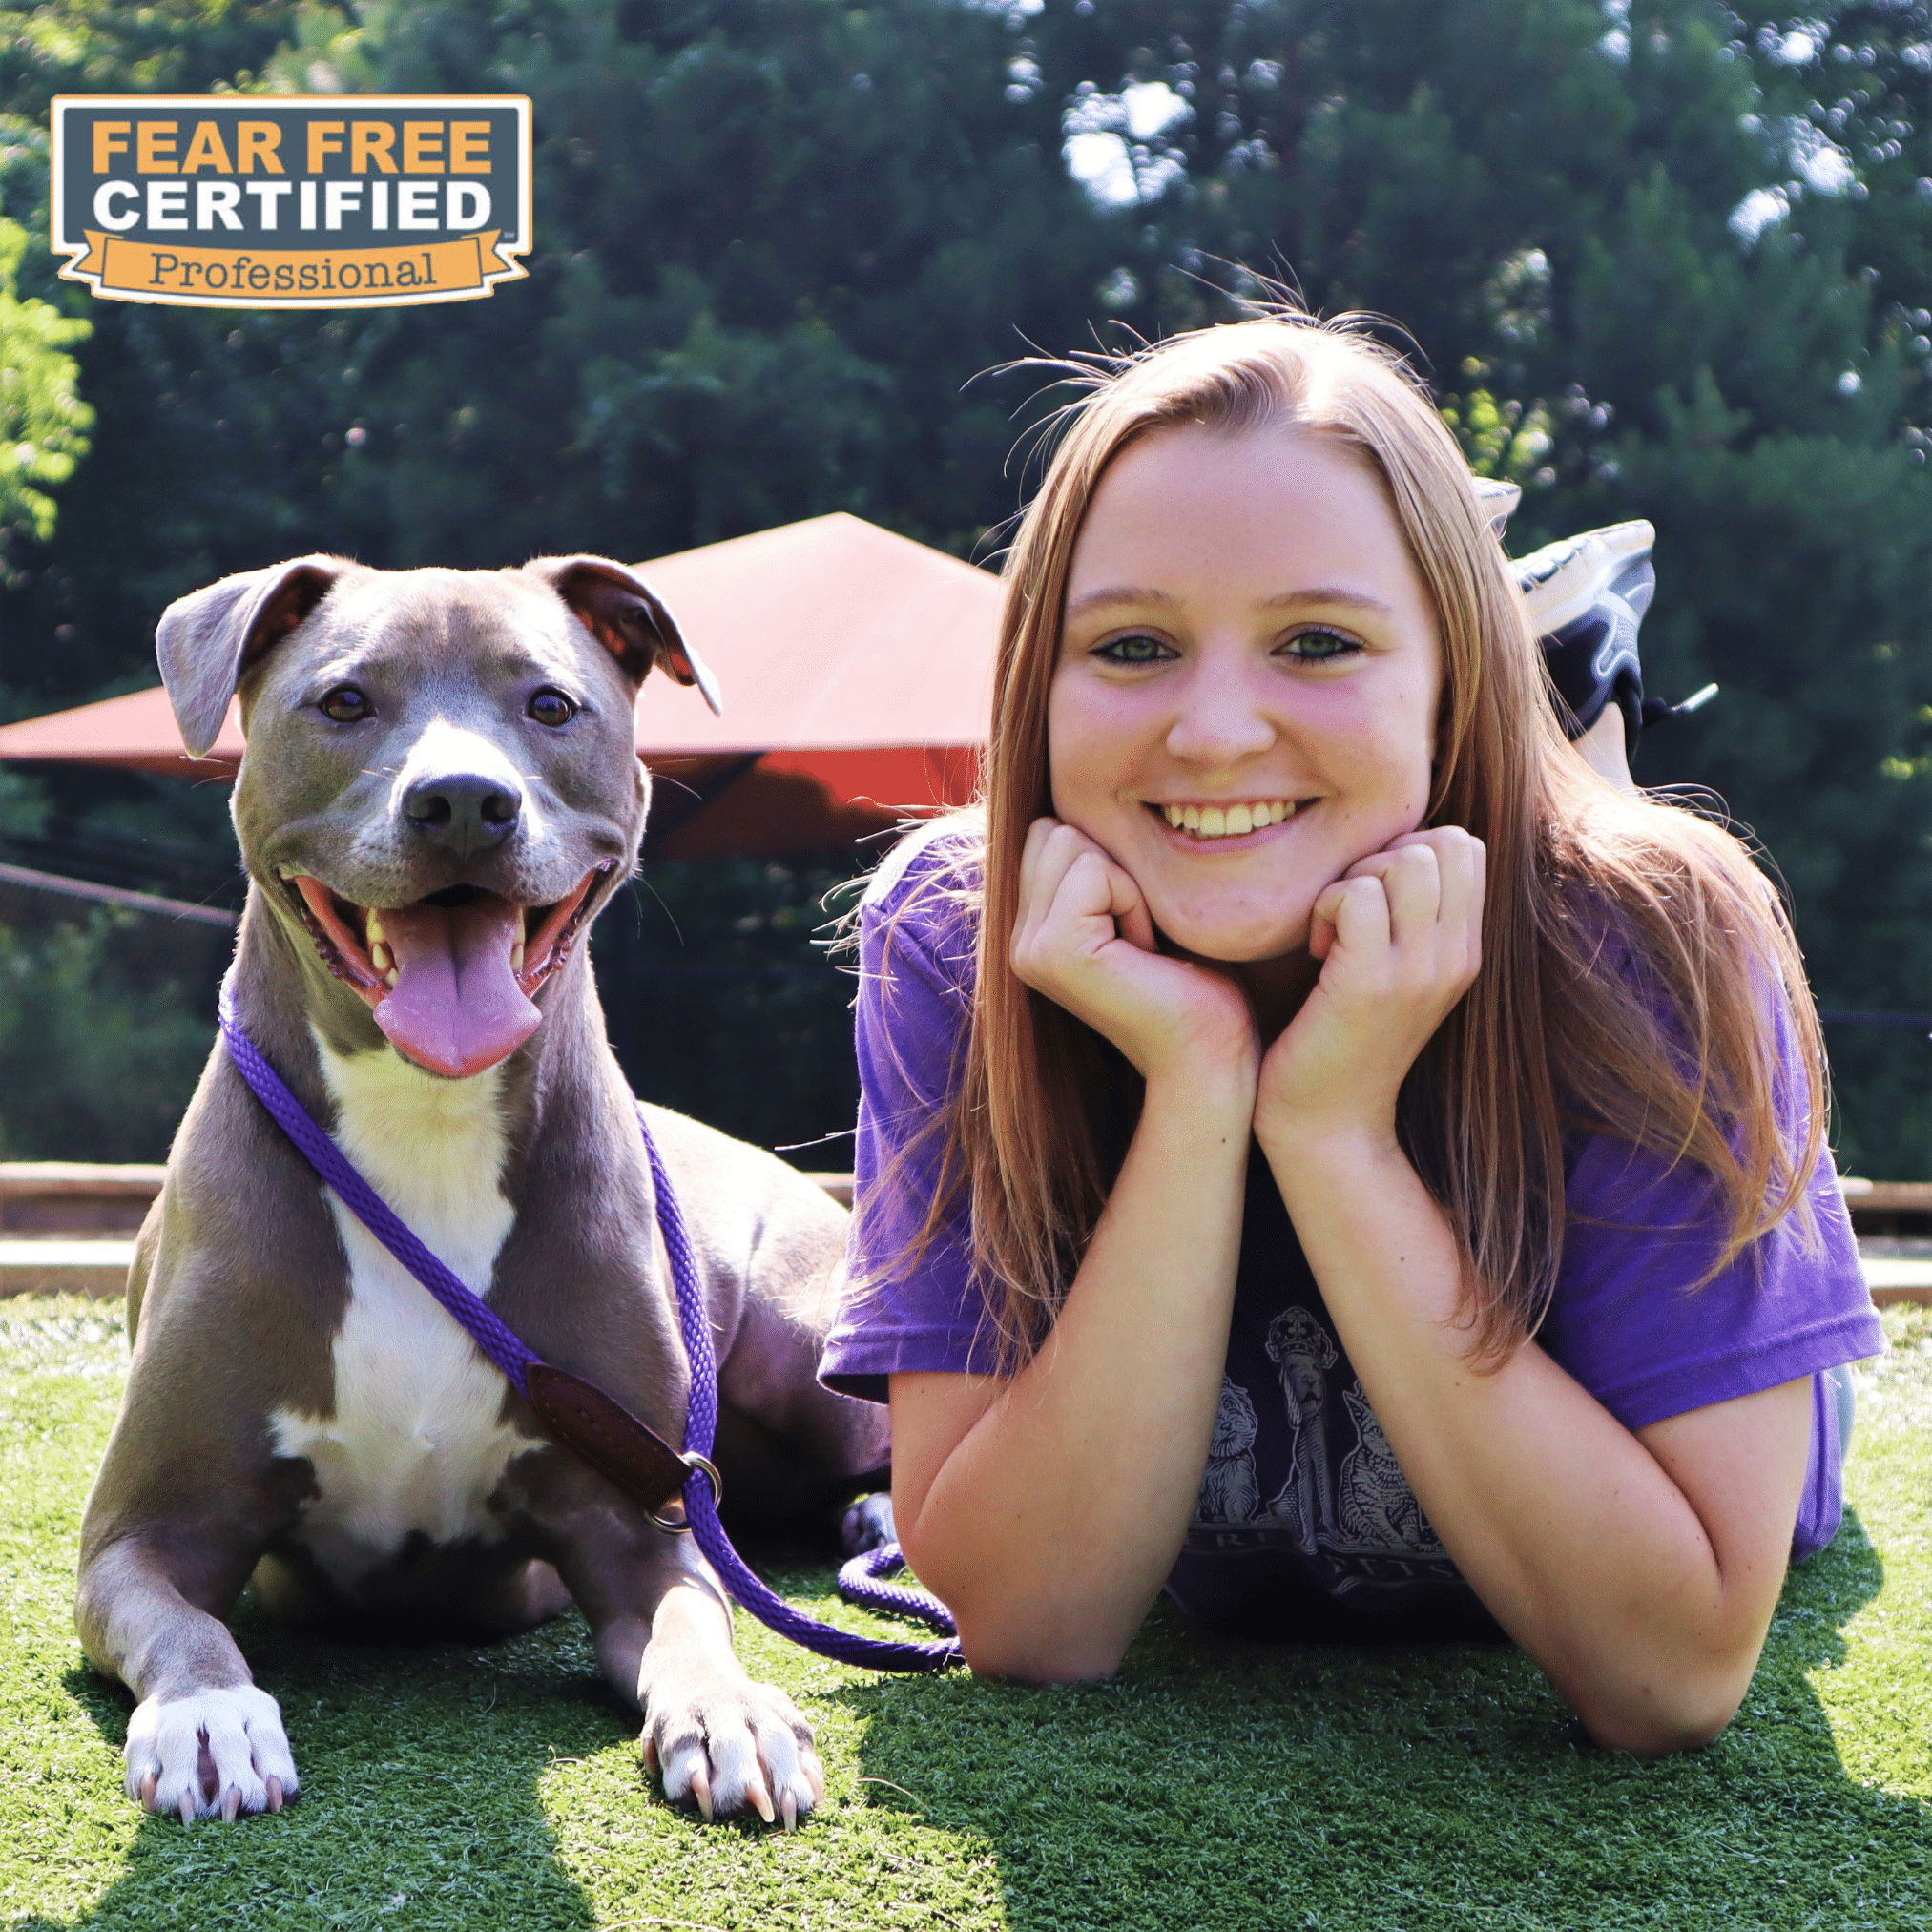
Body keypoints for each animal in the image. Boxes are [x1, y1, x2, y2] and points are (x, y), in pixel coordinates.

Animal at [74, 556, 888, 1823]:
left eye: (550, 705)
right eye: (345, 700)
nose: (462, 800)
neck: (426, 1133)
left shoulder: (635, 1525)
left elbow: (692, 1623)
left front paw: (734, 1711)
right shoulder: (142, 1530)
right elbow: (185, 1626)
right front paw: (213, 1715)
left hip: (798, 1349)